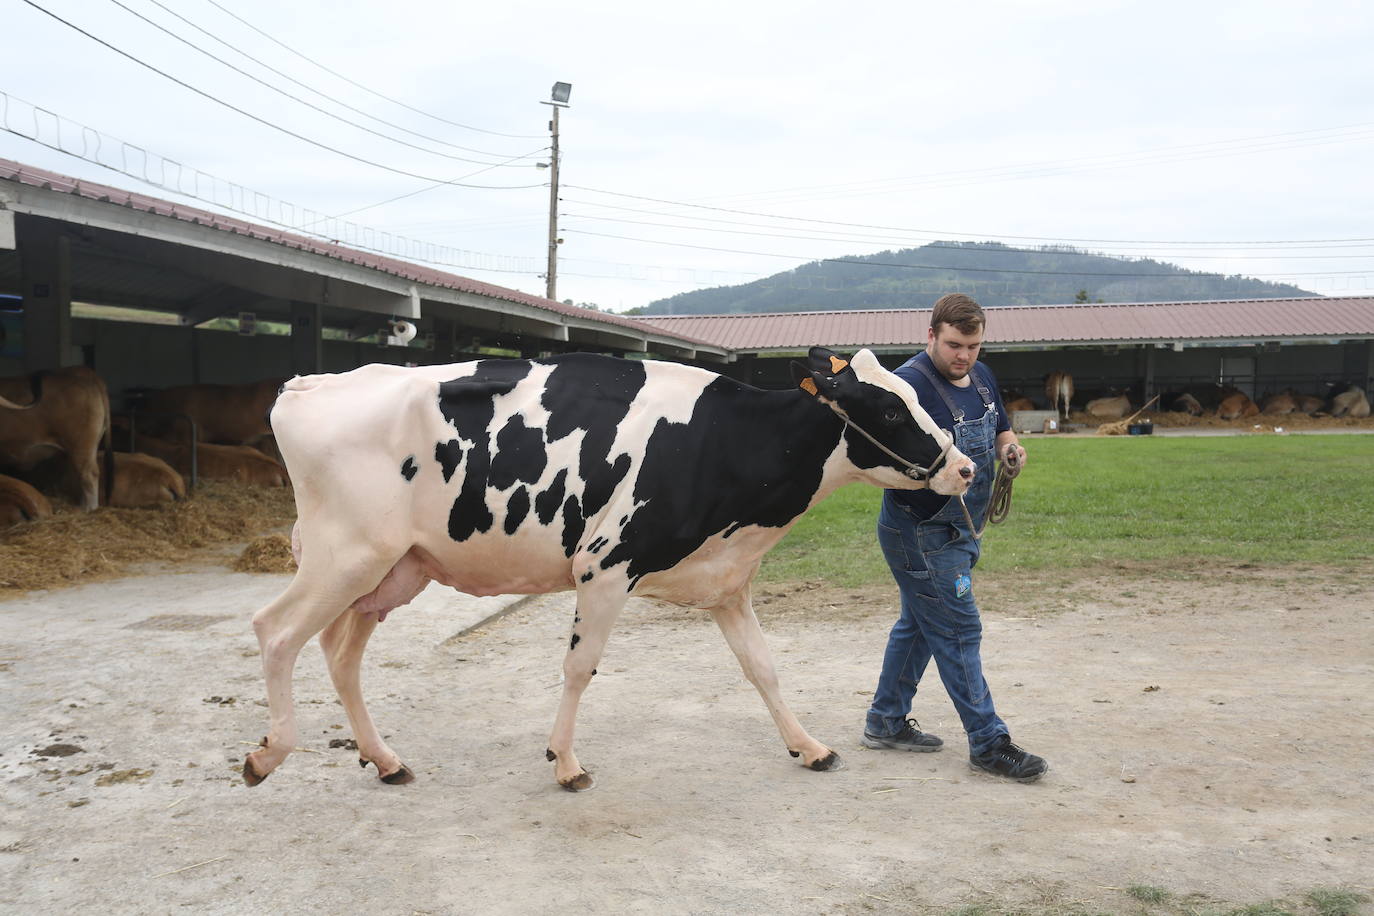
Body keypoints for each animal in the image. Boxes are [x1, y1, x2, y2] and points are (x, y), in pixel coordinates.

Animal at [250, 347, 978, 791]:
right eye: (890, 408)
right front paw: (566, 762)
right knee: (276, 631)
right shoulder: (605, 565)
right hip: (345, 555)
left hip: (391, 569)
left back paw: (386, 761)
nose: (967, 467)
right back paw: (267, 754)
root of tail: (312, 383)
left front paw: (808, 746)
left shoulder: (726, 580)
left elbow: (763, 668)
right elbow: (580, 668)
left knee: (339, 655)